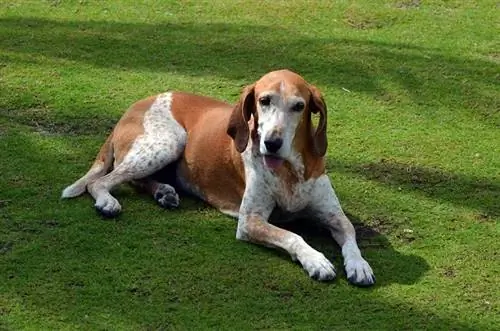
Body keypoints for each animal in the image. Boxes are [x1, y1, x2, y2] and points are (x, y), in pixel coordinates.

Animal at [61, 70, 376, 288]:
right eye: (264, 101)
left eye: (299, 106)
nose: (272, 143)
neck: (290, 170)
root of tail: (134, 106)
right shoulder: (250, 221)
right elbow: (293, 235)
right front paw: (316, 260)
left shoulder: (334, 215)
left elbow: (350, 232)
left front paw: (359, 265)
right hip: (168, 141)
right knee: (101, 181)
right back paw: (108, 202)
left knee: (136, 181)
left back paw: (164, 192)